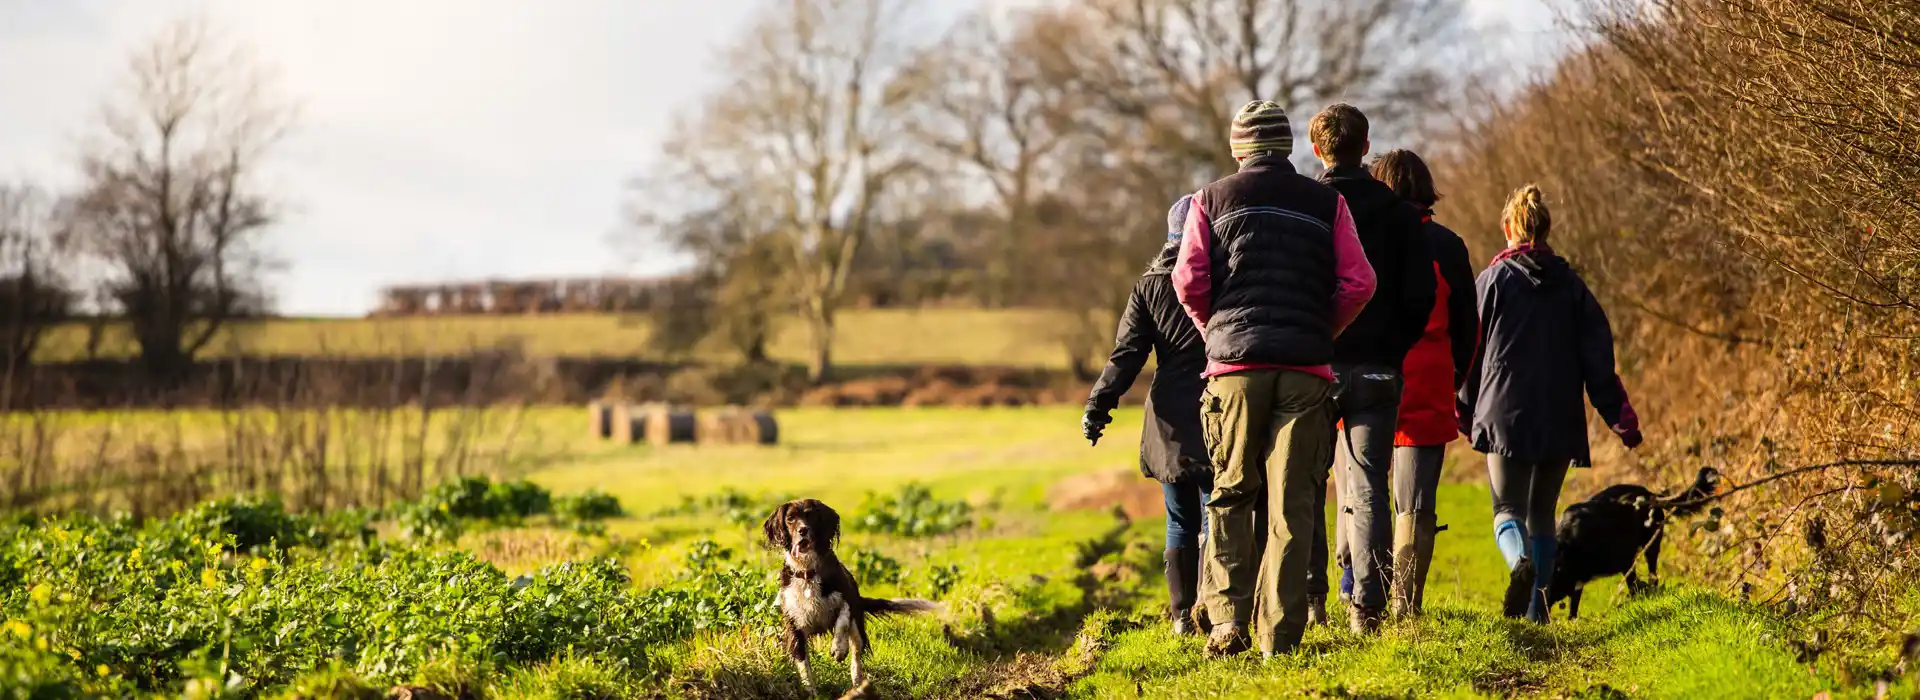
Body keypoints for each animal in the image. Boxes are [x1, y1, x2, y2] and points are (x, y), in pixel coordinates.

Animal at [764, 498, 944, 690]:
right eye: (790, 519)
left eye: (810, 515)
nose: (802, 530)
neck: (807, 572)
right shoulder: (794, 622)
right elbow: (803, 663)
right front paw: (811, 690)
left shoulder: (848, 598)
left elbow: (842, 620)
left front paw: (839, 649)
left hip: (857, 627)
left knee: (856, 657)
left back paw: (858, 684)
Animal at [1543, 464, 1728, 617]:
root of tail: (1650, 494)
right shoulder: (1579, 578)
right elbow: (1574, 602)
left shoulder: (1624, 559)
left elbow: (1632, 583)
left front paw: (1636, 599)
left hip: (1651, 543)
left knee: (1653, 572)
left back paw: (1651, 589)